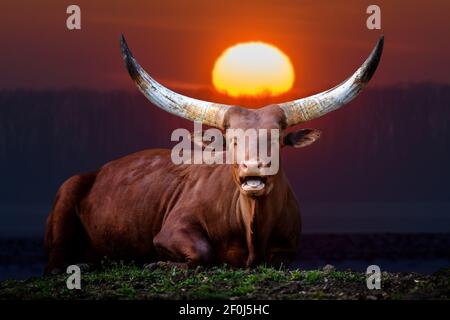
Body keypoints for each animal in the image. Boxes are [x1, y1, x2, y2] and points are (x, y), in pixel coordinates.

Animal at [44, 34, 384, 272]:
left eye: (276, 139)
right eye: (231, 141)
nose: (254, 169)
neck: (252, 229)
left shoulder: (287, 250)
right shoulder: (172, 229)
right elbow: (203, 253)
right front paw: (159, 262)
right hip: (66, 195)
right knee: (55, 265)